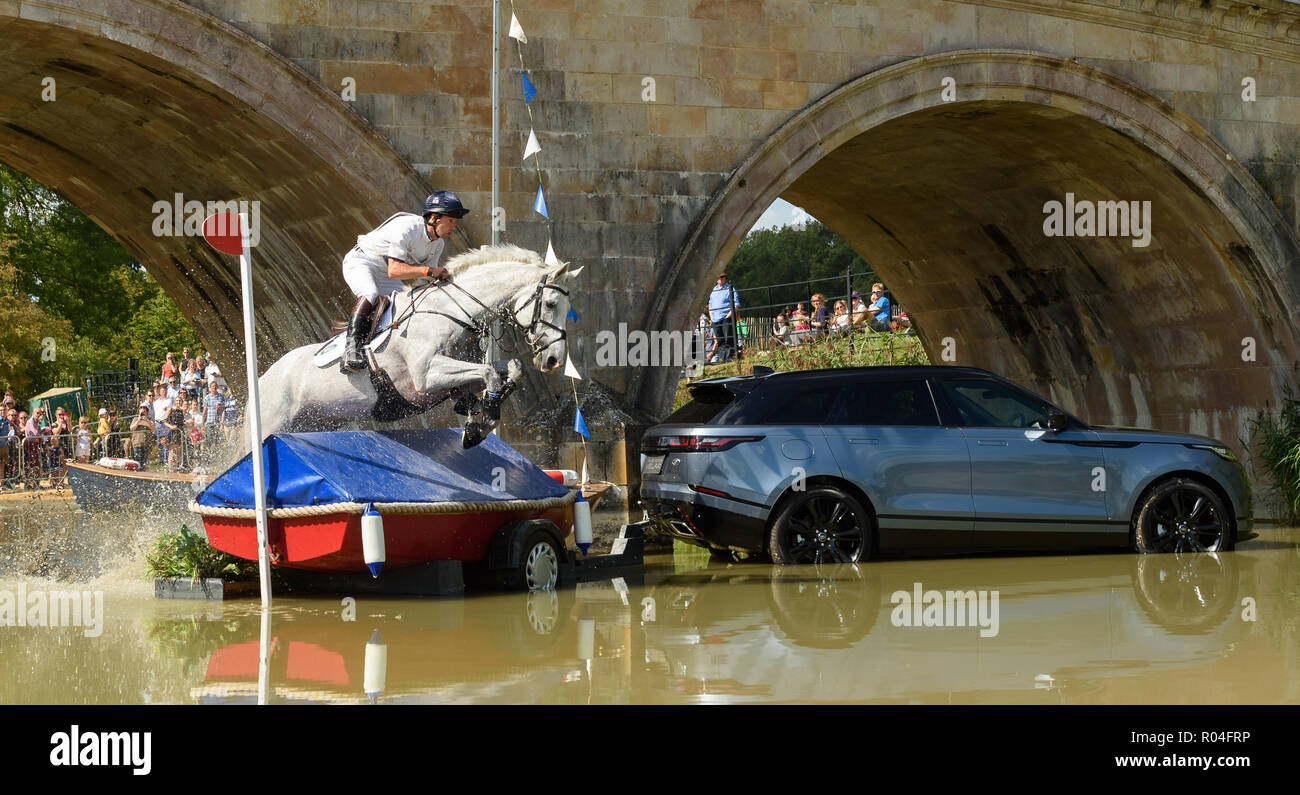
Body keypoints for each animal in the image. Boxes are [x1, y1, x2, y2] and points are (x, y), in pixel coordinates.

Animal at [253, 245, 579, 446]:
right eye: (551, 304)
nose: (554, 360)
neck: (452, 309)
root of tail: (263, 378)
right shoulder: (427, 377)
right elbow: (488, 372)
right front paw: (482, 421)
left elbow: (510, 368)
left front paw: (480, 413)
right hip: (271, 423)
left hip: (315, 421)